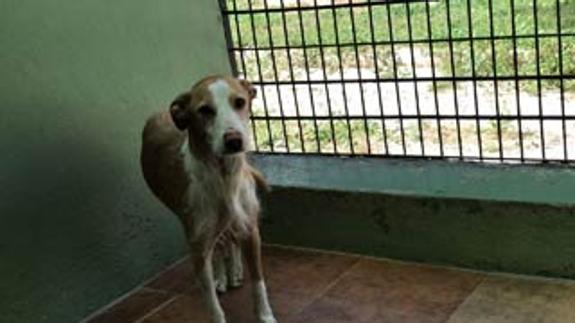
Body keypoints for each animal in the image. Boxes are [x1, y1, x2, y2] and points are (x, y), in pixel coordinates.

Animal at [138, 76, 276, 323]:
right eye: (204, 110)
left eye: (240, 102)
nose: (234, 140)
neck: (224, 178)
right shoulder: (198, 245)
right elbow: (211, 299)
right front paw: (219, 283)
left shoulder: (250, 230)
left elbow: (259, 283)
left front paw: (265, 316)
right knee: (220, 245)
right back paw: (224, 275)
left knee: (228, 240)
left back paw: (235, 270)